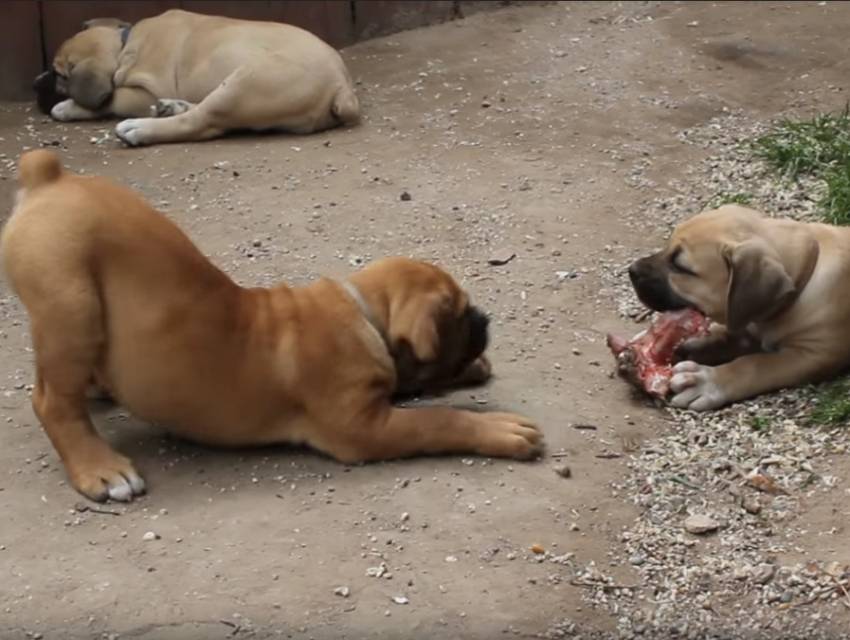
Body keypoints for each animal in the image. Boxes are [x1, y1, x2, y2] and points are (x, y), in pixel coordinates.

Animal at [1, 149, 544, 500]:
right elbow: (438, 420)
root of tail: (51, 177)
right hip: (70, 304)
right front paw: (498, 428)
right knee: (53, 400)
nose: (485, 319)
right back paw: (102, 469)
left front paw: (474, 368)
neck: (364, 314)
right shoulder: (364, 426)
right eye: (460, 313)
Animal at [33, 9, 356, 145]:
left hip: (244, 83)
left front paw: (66, 107)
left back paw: (139, 128)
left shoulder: (142, 93)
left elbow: (109, 100)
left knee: (200, 122)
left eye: (58, 74)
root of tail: (342, 85)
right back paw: (171, 107)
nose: (35, 84)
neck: (124, 43)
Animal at [628, 205, 848, 412]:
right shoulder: (745, 319)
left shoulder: (815, 355)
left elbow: (755, 364)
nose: (632, 270)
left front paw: (708, 382)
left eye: (681, 267)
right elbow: (725, 334)